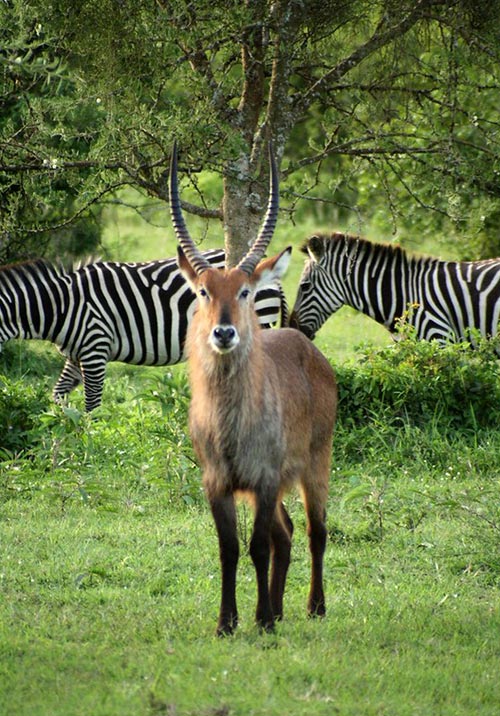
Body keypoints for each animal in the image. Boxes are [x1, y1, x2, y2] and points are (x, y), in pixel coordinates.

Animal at [0, 249, 288, 412]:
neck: (62, 305)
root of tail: (270, 275)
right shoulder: (76, 353)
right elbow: (58, 395)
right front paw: (62, 428)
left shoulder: (95, 347)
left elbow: (93, 406)